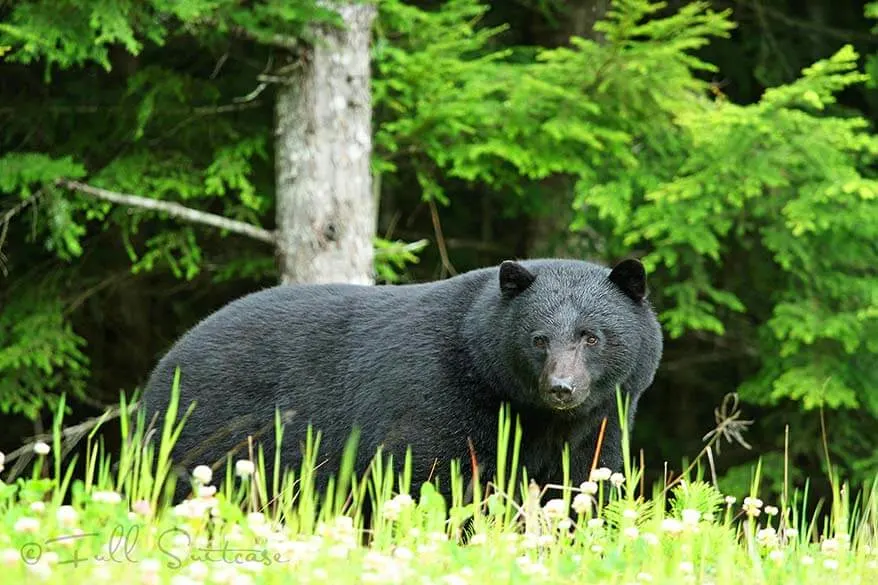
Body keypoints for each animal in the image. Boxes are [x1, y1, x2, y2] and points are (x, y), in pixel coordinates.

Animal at [144, 258, 664, 504]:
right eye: (538, 339)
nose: (561, 387)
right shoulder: (439, 395)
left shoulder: (600, 422)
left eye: (591, 337)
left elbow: (584, 483)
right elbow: (424, 476)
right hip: (208, 434)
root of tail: (167, 359)